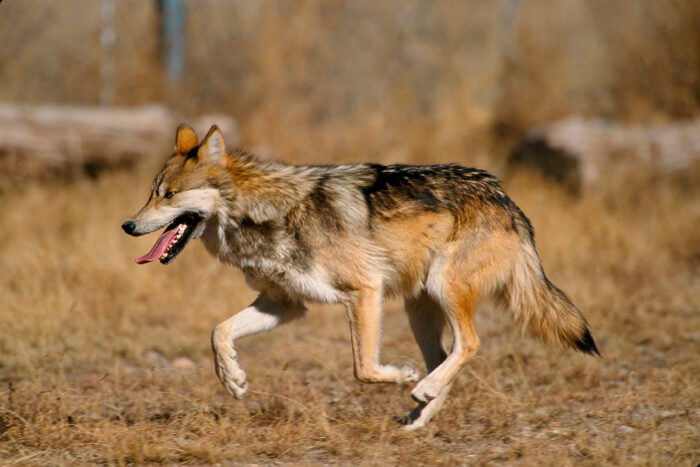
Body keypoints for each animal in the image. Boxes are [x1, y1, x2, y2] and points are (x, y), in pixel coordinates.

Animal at [122, 124, 599, 430]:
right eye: (150, 193)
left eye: (169, 195)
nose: (127, 225)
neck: (265, 213)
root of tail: (506, 199)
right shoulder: (284, 304)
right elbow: (218, 332)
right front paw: (234, 379)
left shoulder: (363, 292)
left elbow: (364, 369)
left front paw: (401, 375)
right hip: (419, 309)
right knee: (446, 356)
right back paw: (419, 414)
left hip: (442, 290)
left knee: (469, 344)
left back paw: (420, 388)